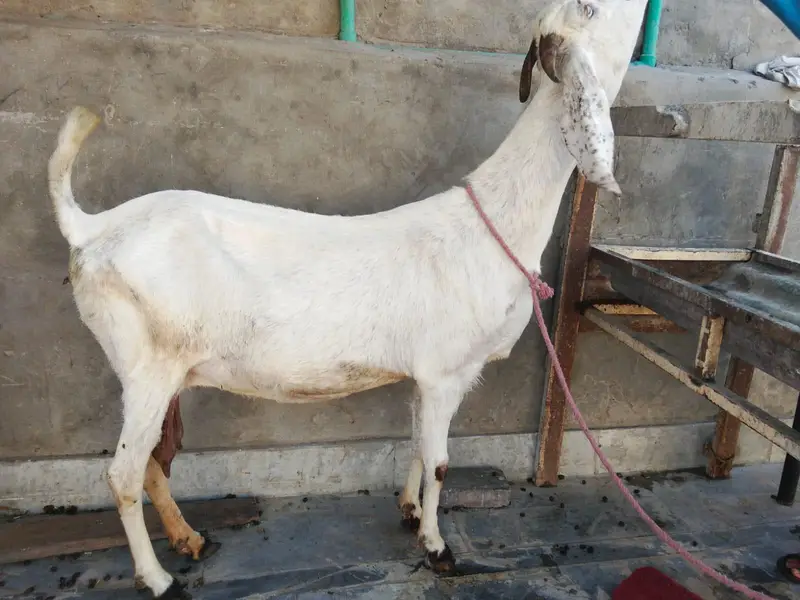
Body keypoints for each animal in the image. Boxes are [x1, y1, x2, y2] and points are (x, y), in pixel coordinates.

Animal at [46, 0, 647, 597]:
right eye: (591, 9)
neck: (495, 224)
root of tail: (92, 228)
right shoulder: (447, 371)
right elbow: (440, 462)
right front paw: (437, 547)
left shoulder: (423, 375)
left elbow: (416, 444)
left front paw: (409, 511)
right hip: (147, 365)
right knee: (122, 474)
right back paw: (158, 579)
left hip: (162, 369)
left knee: (153, 461)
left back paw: (190, 540)